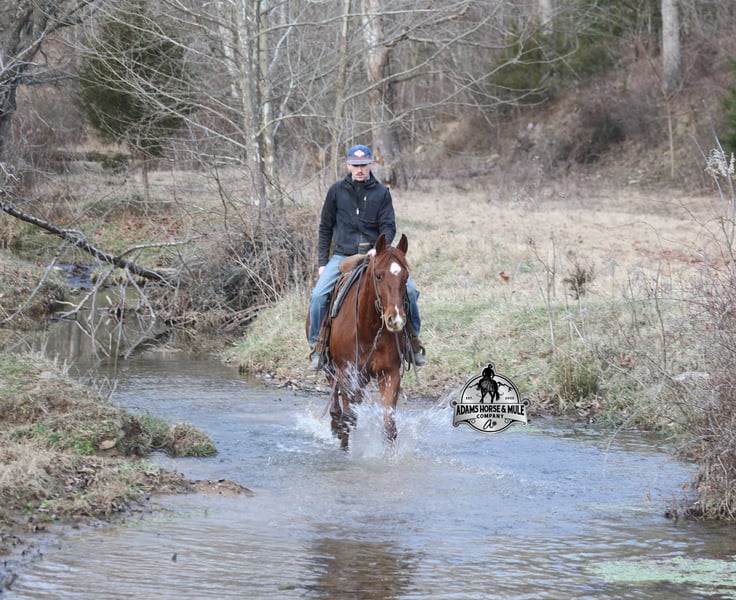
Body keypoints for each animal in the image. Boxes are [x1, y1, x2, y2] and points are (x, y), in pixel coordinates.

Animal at [313, 233, 411, 450]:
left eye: (406, 277)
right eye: (379, 275)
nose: (395, 319)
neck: (368, 327)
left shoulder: (390, 373)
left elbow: (389, 427)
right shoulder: (346, 372)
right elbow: (348, 419)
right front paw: (343, 449)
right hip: (330, 366)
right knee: (336, 398)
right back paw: (334, 422)